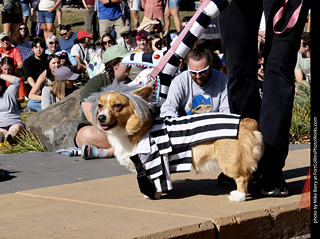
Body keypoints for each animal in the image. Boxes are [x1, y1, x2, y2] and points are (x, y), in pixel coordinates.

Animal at [89, 82, 264, 202]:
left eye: (117, 105)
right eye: (100, 106)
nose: (101, 118)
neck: (137, 129)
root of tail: (247, 121)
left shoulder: (154, 162)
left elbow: (157, 181)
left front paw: (153, 194)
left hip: (231, 162)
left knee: (243, 177)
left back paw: (239, 196)